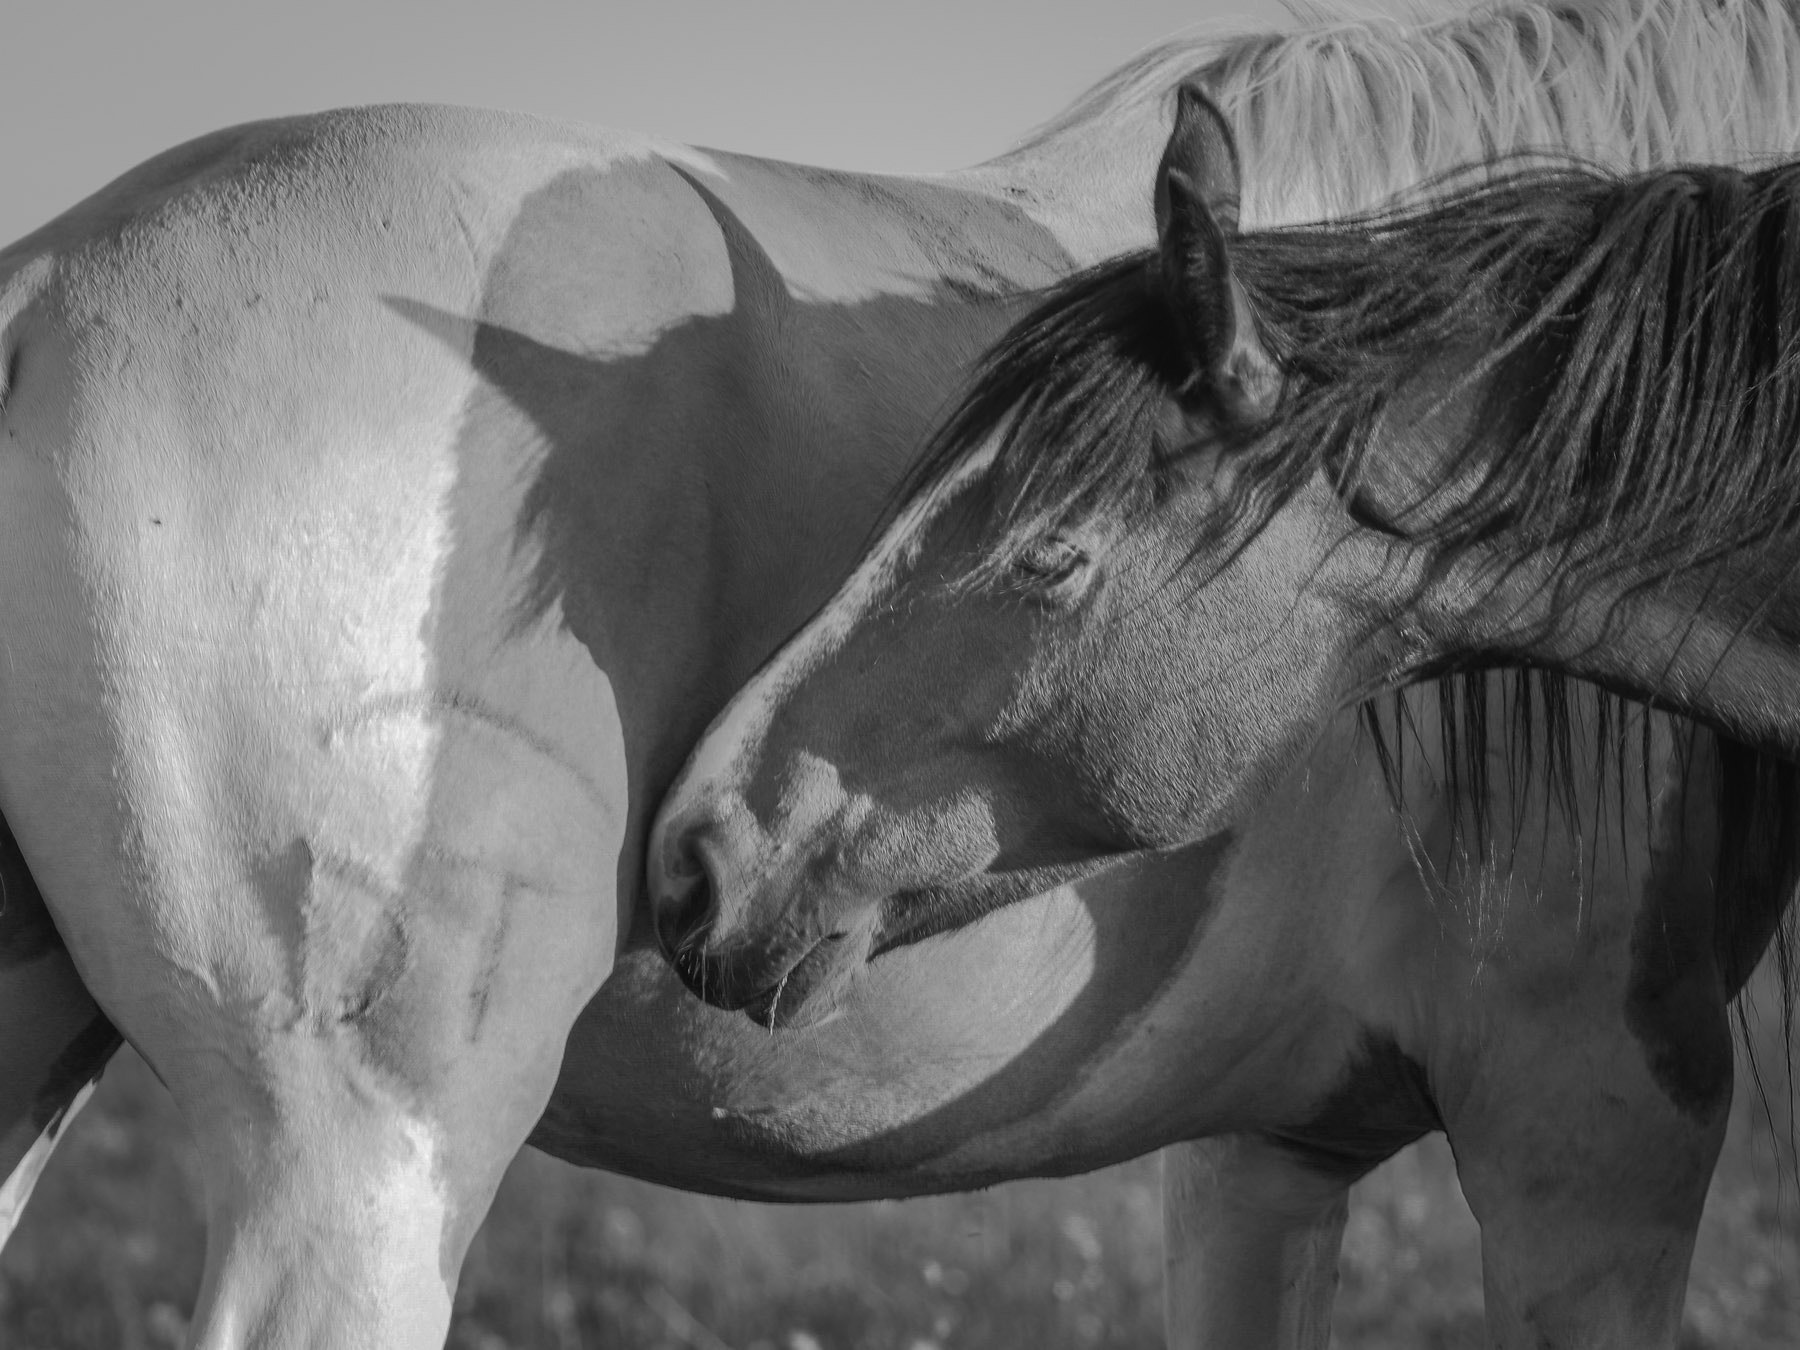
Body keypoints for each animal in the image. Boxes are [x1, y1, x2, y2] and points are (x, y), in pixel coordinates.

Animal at [3, 2, 1800, 1350]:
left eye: (1050, 552)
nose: (702, 854)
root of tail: (43, 280)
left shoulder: (1266, 1148)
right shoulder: (1593, 1123)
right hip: (360, 1166)